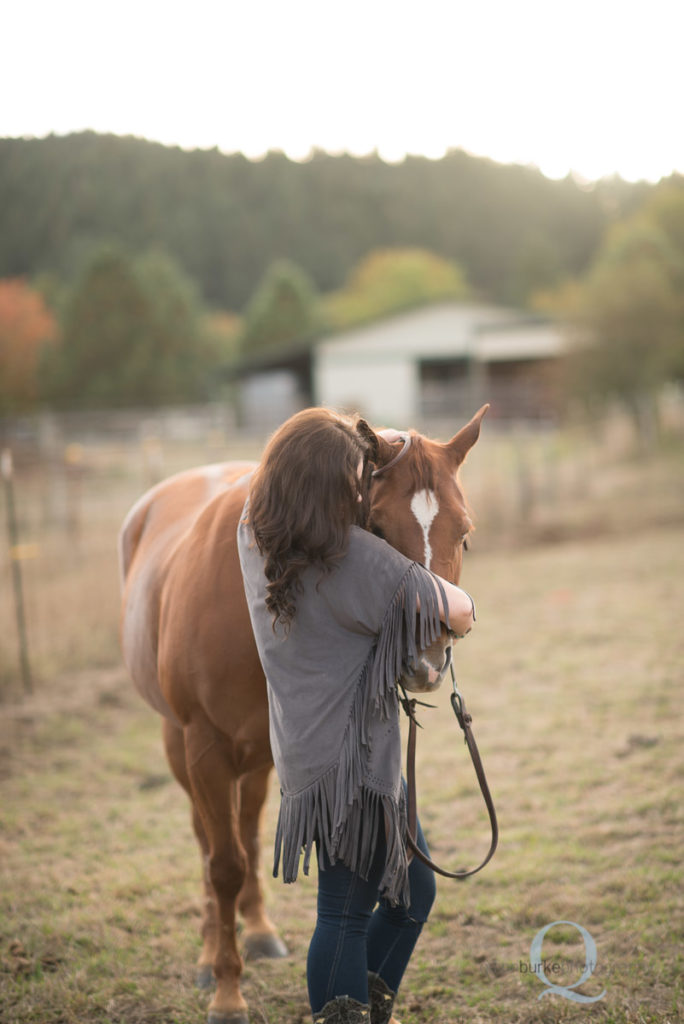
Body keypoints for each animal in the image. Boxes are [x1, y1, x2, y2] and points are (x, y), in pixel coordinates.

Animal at [120, 407, 489, 1024]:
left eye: (463, 533)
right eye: (377, 531)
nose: (425, 661)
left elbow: (241, 851)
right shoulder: (204, 748)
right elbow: (222, 865)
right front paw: (227, 993)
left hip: (259, 760)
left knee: (246, 831)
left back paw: (258, 931)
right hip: (182, 743)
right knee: (210, 843)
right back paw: (211, 955)